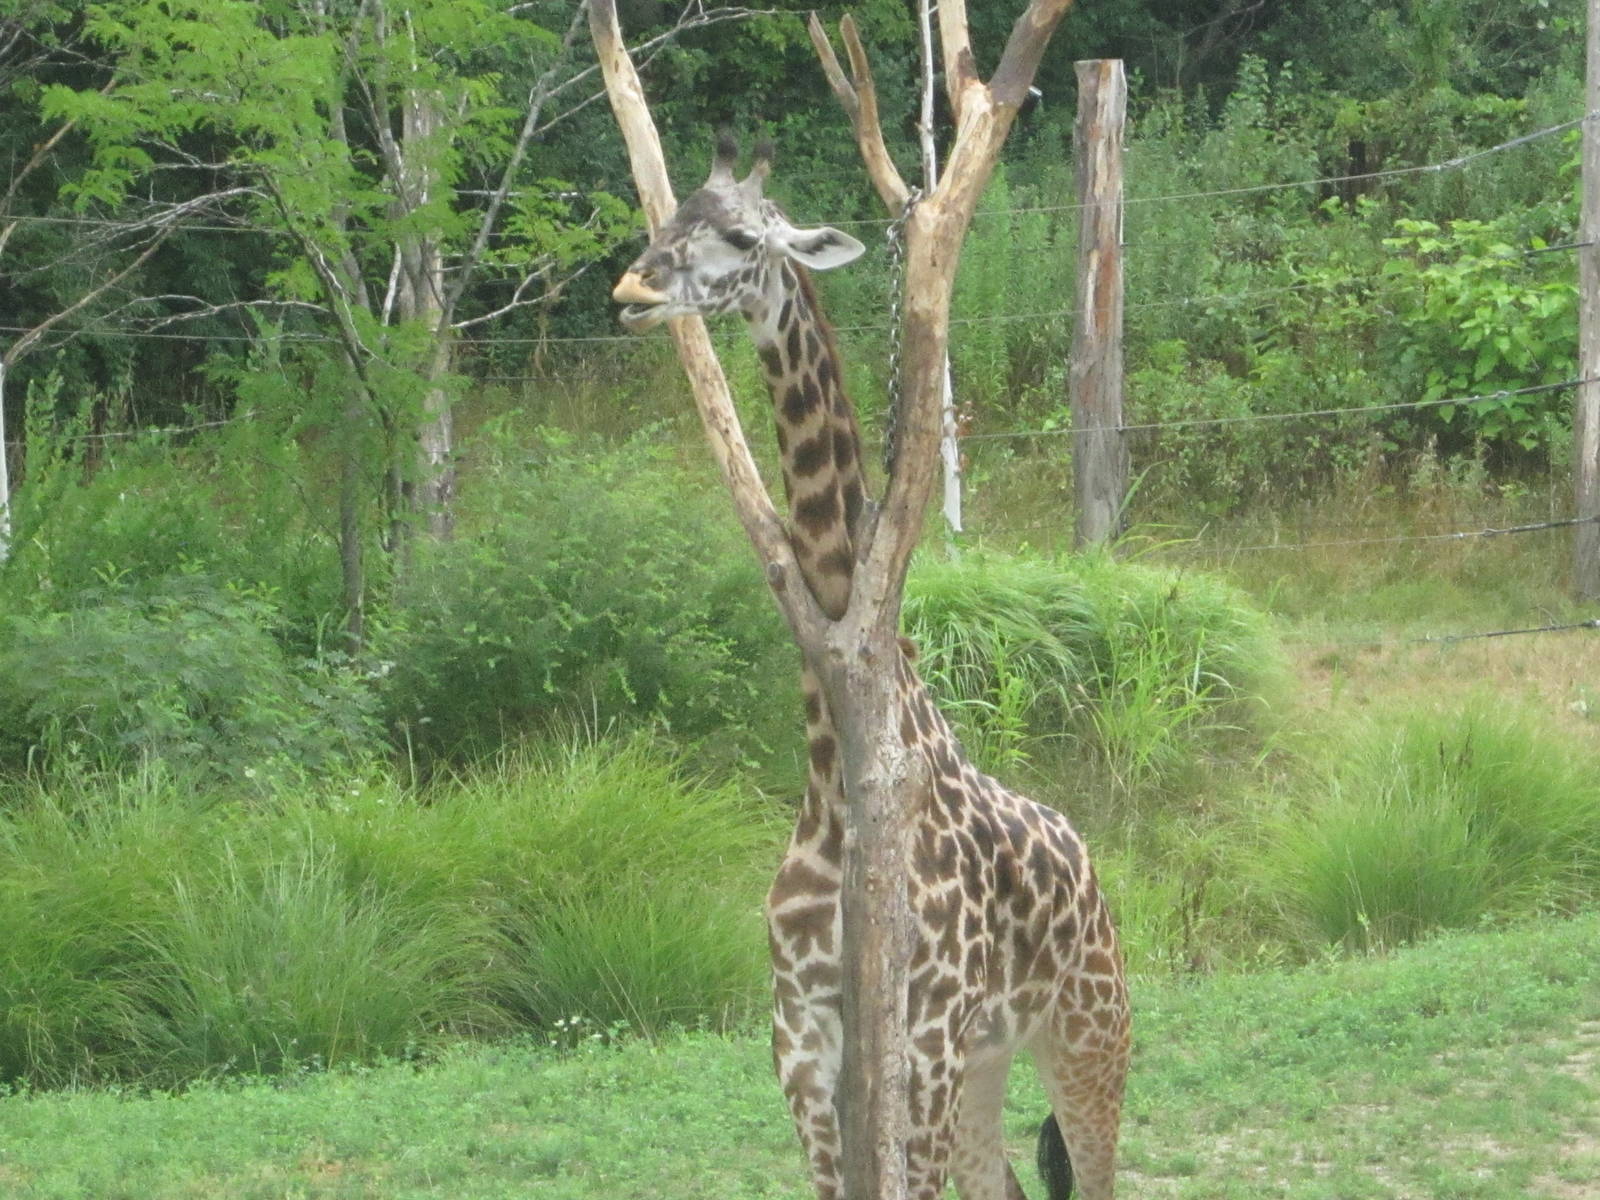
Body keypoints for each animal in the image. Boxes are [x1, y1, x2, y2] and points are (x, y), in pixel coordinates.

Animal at [612, 135, 1129, 1200]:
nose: (630, 289)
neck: (834, 780)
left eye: (739, 236)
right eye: (668, 213)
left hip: (1088, 1033)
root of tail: (1094, 869)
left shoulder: (917, 1040)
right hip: (986, 1062)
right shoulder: (803, 1041)